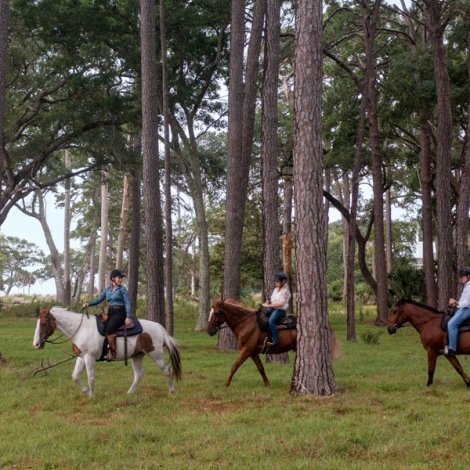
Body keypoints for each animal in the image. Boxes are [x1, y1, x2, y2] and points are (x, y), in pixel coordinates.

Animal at [32, 304, 182, 396]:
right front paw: (87, 391)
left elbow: (90, 377)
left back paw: (171, 391)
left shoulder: (89, 357)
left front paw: (92, 395)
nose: (36, 344)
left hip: (155, 353)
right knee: (138, 375)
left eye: (44, 323)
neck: (80, 329)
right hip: (137, 356)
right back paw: (129, 393)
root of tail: (158, 326)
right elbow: (75, 376)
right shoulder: (82, 357)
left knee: (166, 369)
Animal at [207, 300, 340, 388]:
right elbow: (261, 368)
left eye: (217, 313)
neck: (246, 323)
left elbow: (234, 366)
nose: (209, 330)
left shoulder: (246, 350)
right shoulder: (253, 352)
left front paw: (226, 383)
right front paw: (267, 384)